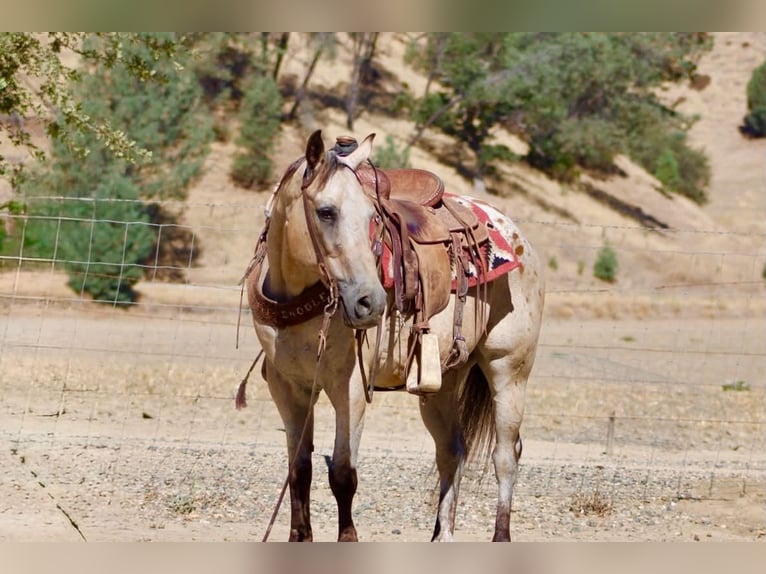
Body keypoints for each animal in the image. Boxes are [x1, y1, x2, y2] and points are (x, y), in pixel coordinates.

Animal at [242, 130, 545, 542]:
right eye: (326, 212)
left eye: (372, 217)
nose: (370, 302)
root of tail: (516, 235)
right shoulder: (286, 386)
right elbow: (299, 470)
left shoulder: (350, 386)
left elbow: (343, 473)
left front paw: (348, 538)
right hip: (443, 380)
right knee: (452, 450)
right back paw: (441, 536)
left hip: (509, 370)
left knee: (505, 455)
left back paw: (500, 535)